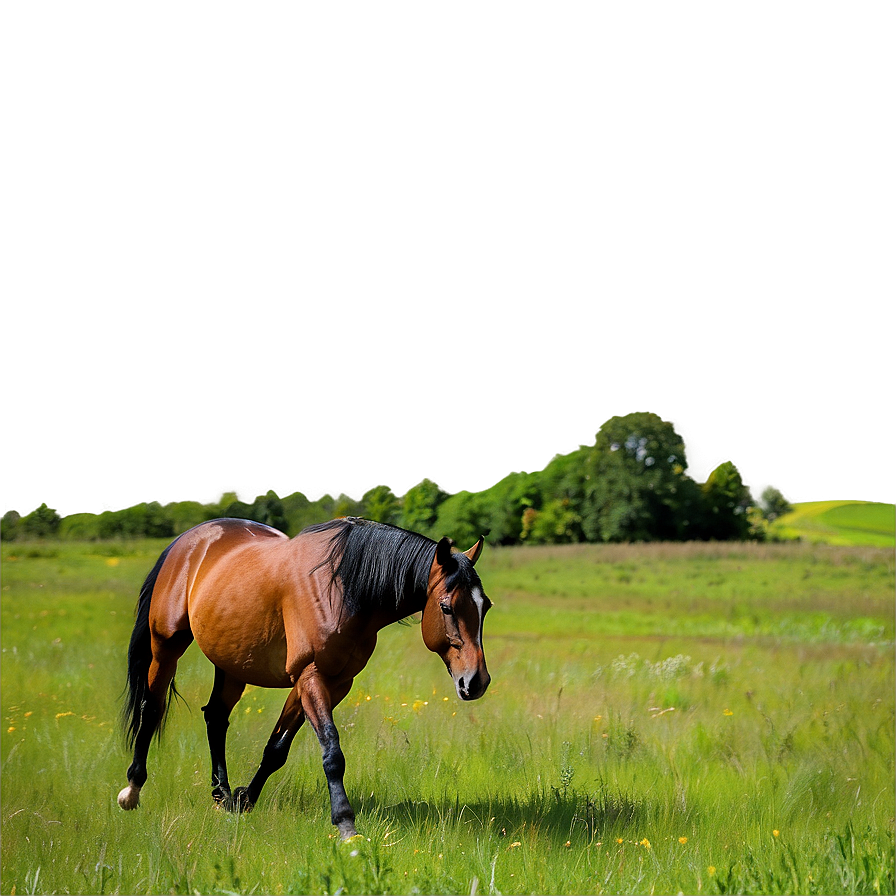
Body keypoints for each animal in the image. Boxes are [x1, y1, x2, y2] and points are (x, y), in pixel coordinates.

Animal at [116, 520, 494, 840]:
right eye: (446, 607)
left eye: (485, 606)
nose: (476, 682)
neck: (343, 587)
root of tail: (189, 540)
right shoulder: (311, 675)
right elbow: (332, 751)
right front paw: (346, 825)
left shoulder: (333, 682)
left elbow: (276, 749)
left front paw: (244, 800)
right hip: (166, 645)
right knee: (151, 707)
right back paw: (132, 789)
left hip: (231, 663)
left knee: (216, 717)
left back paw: (220, 793)